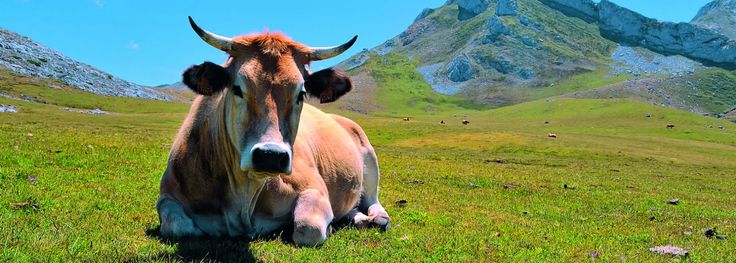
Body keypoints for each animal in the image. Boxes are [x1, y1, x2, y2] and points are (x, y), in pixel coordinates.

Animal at [157, 17, 392, 248]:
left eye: (301, 93)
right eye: (237, 88)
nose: (270, 155)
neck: (243, 197)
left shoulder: (315, 189)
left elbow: (308, 229)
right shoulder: (167, 194)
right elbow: (180, 227)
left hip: (370, 160)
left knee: (372, 199)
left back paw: (378, 218)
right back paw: (359, 219)